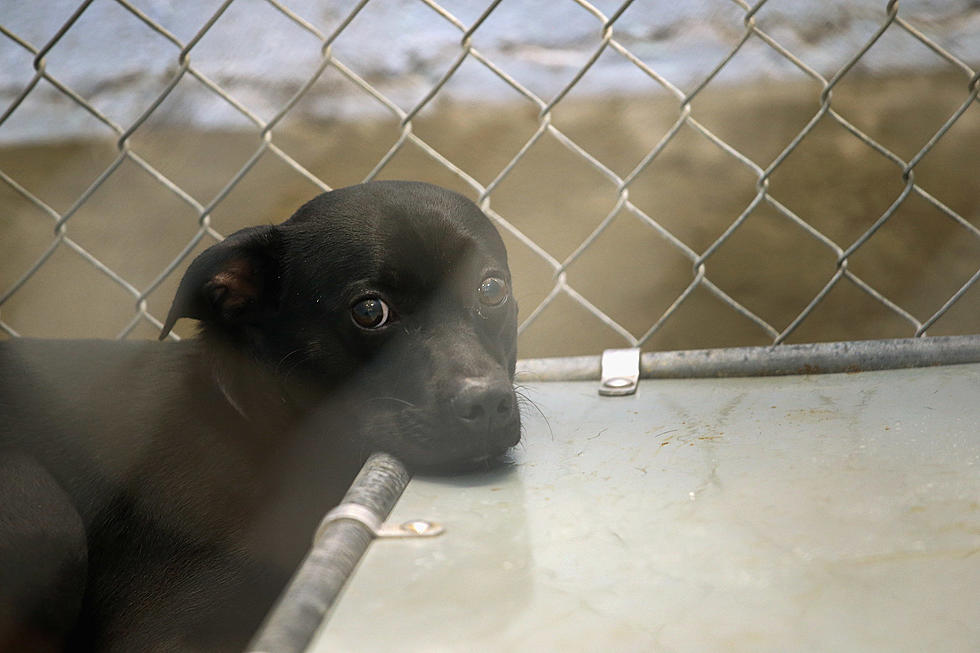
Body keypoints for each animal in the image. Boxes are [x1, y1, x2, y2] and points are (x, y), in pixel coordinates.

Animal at [0, 180, 520, 652]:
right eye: (370, 310)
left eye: (491, 288)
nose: (486, 404)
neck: (273, 434)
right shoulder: (163, 633)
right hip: (42, 510)